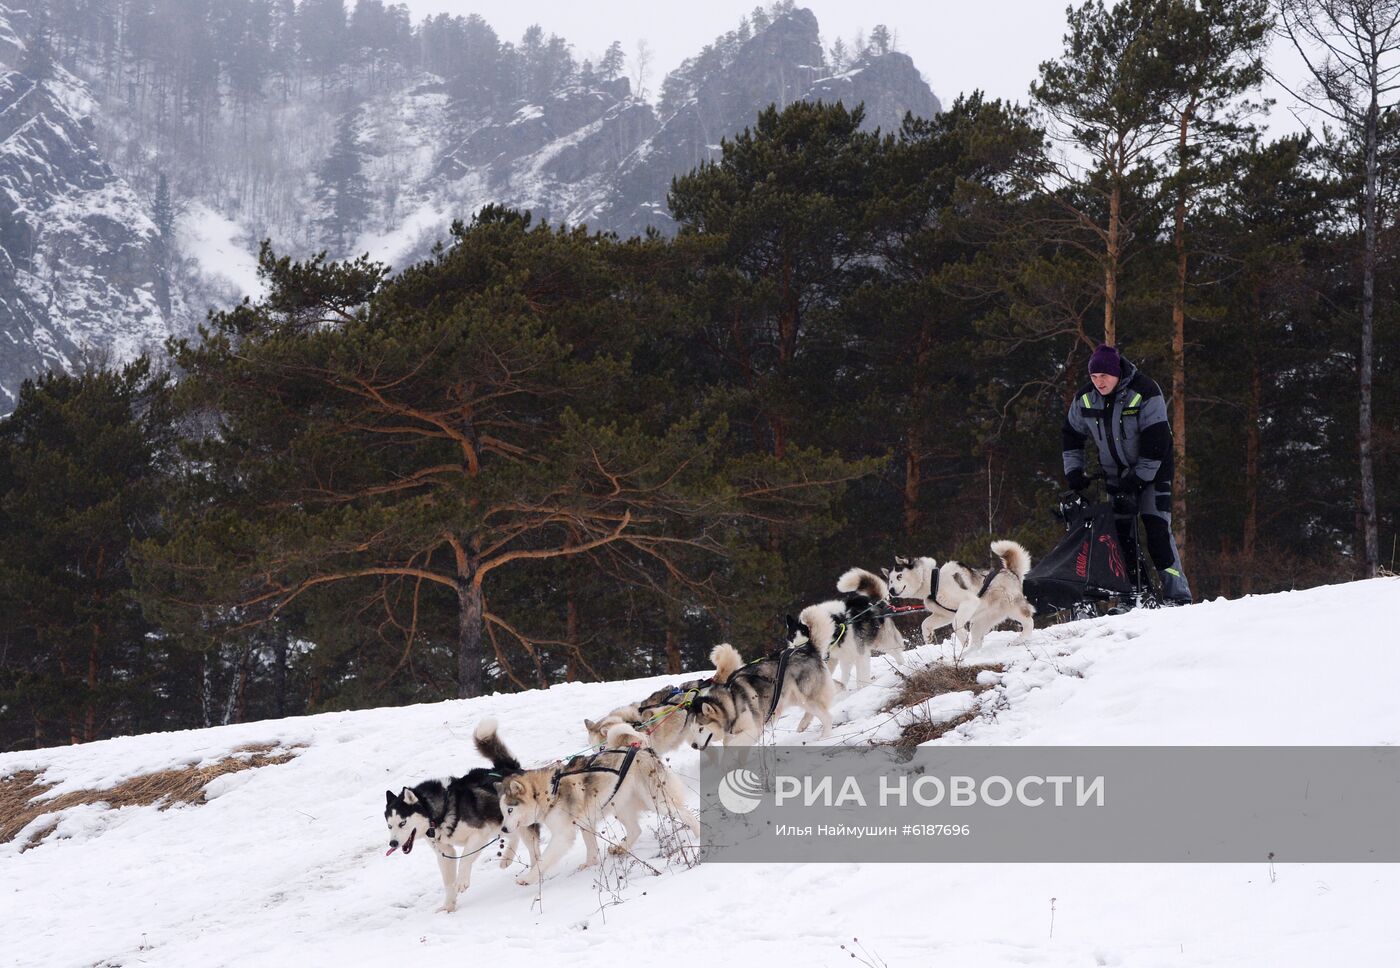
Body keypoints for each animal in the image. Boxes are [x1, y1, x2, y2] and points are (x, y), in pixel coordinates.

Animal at [383, 717, 534, 918]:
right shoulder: (445, 852)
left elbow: (464, 860)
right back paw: (508, 858)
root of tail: (506, 768)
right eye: (389, 826)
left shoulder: (479, 834)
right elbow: (448, 883)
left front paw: (462, 881)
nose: (392, 844)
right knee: (512, 835)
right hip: (503, 823)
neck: (438, 812)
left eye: (402, 823)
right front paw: (448, 906)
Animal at [501, 722, 700, 890]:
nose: (503, 829)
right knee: (635, 830)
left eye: (510, 810)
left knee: (686, 814)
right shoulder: (585, 824)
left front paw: (528, 878)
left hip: (657, 801)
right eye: (503, 812)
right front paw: (590, 864)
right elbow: (591, 849)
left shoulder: (562, 836)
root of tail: (639, 747)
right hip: (621, 805)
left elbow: (543, 861)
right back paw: (620, 848)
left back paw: (698, 835)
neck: (551, 790)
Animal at [686, 644, 834, 750]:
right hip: (795, 698)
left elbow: (729, 745)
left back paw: (824, 737)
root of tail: (808, 650)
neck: (731, 702)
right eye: (692, 730)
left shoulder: (753, 730)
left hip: (806, 697)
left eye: (701, 728)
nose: (693, 745)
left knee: (826, 716)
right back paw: (803, 724)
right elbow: (727, 743)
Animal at [789, 563, 907, 692]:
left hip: (883, 641)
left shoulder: (860, 654)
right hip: (847, 656)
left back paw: (902, 666)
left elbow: (861, 678)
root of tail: (875, 601)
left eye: (806, 633)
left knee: (897, 652)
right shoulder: (833, 658)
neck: (838, 625)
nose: (796, 651)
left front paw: (863, 689)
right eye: (792, 636)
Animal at [884, 540, 1041, 655]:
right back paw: (965, 655)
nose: (891, 590)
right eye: (890, 581)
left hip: (1012, 607)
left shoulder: (968, 602)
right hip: (980, 622)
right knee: (977, 643)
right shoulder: (944, 614)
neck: (933, 582)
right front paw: (928, 636)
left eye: (899, 576)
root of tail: (1010, 572)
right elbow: (925, 623)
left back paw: (1019, 640)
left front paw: (963, 638)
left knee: (1029, 622)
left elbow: (956, 623)